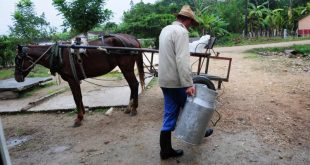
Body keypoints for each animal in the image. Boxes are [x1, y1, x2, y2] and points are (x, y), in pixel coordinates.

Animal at [13, 33, 145, 126]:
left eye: (18, 59)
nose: (17, 77)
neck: (59, 54)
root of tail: (131, 38)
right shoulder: (76, 79)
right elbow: (79, 97)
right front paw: (83, 114)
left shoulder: (72, 80)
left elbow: (76, 98)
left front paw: (79, 118)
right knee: (132, 85)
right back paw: (129, 108)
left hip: (126, 68)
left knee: (134, 84)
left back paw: (133, 108)